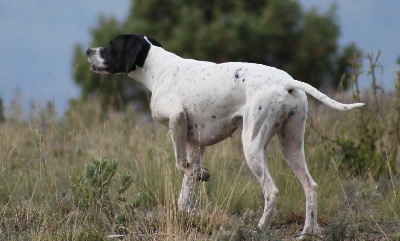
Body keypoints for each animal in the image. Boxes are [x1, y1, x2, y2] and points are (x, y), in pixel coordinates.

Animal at [87, 33, 366, 237]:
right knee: (310, 186)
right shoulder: (195, 144)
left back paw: (259, 229)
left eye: (111, 45)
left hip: (252, 146)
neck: (159, 69)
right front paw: (186, 211)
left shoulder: (177, 118)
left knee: (271, 191)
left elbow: (180, 164)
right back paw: (309, 231)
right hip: (292, 147)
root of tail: (286, 82)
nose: (88, 51)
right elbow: (186, 188)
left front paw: (200, 174)